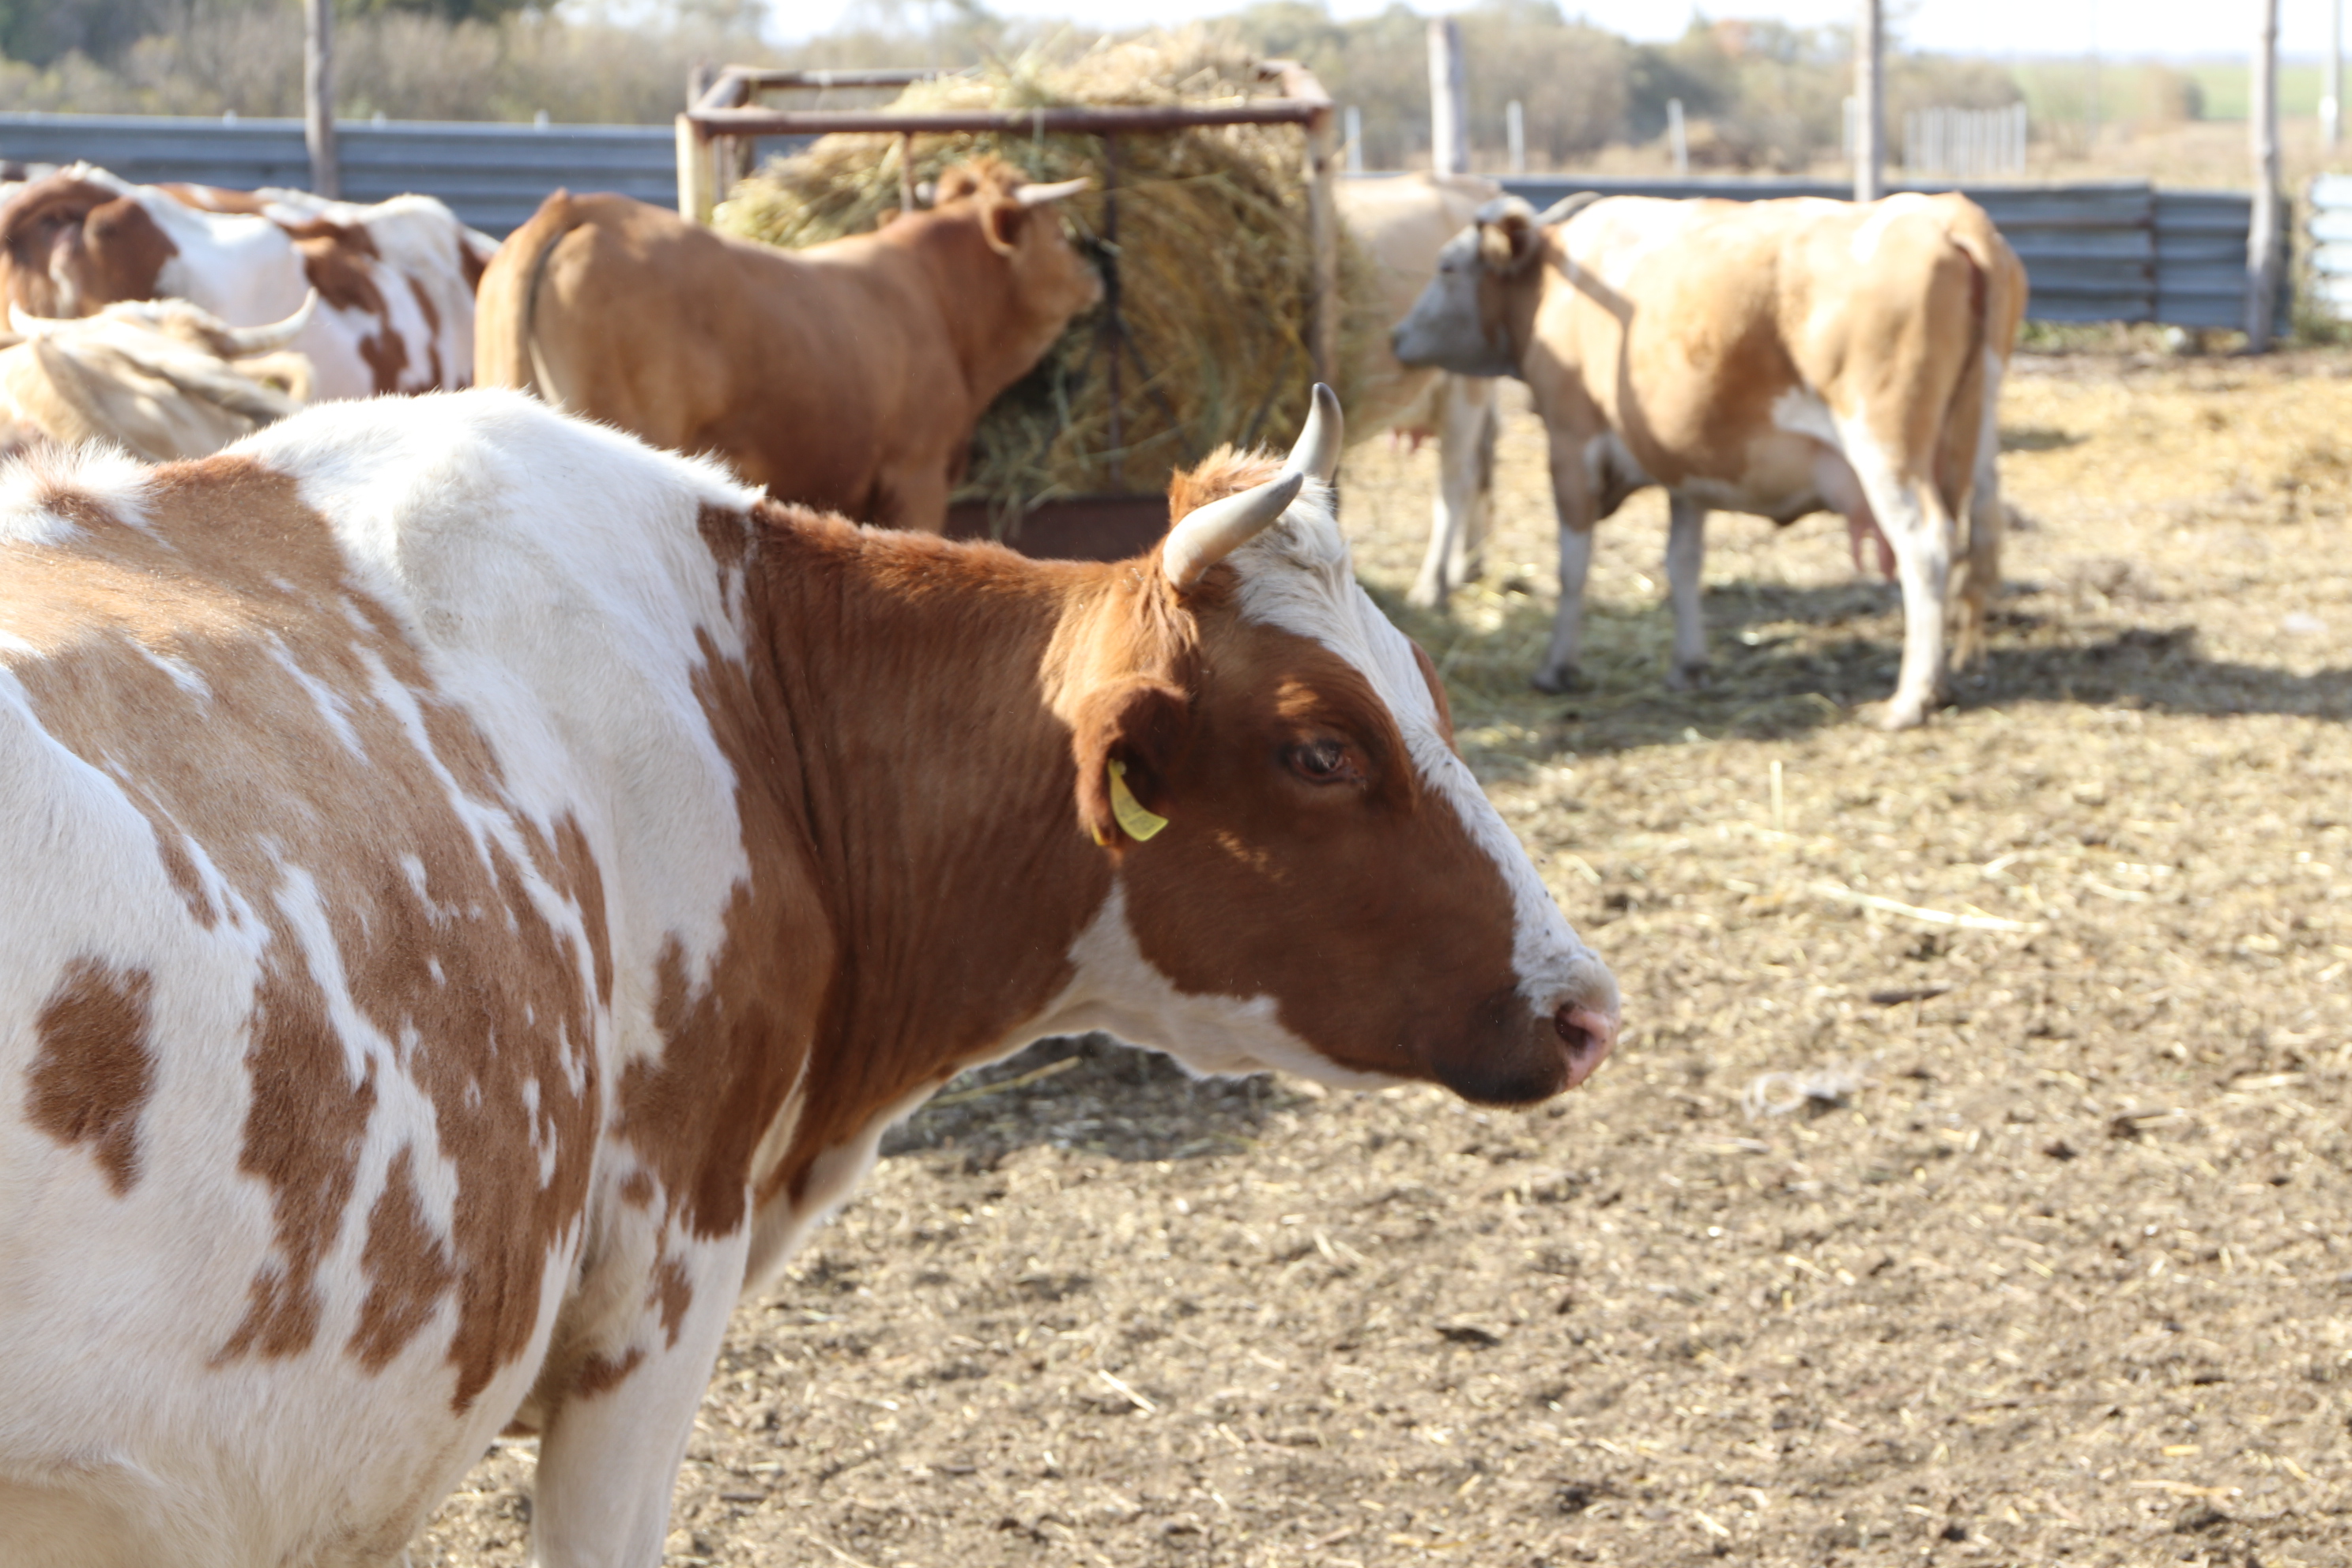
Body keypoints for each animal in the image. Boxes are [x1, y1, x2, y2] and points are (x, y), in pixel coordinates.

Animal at [1382, 191, 2032, 729]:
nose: (1395, 337)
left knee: (1926, 548)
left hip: (1884, 448)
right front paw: (1688, 665)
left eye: (1446, 266)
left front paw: (1556, 667)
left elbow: (1574, 567)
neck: (1558, 283)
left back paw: (1909, 699)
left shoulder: (1571, 443)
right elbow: (1683, 562)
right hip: (1971, 444)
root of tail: (1944, 212)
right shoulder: (1685, 468)